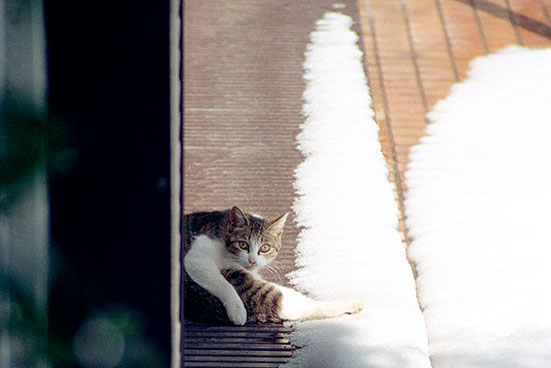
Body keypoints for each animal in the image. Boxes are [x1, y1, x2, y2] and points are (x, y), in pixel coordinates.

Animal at [183, 207, 364, 324]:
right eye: (243, 245)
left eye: (265, 248)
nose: (252, 261)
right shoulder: (196, 260)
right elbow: (224, 285)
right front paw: (238, 311)